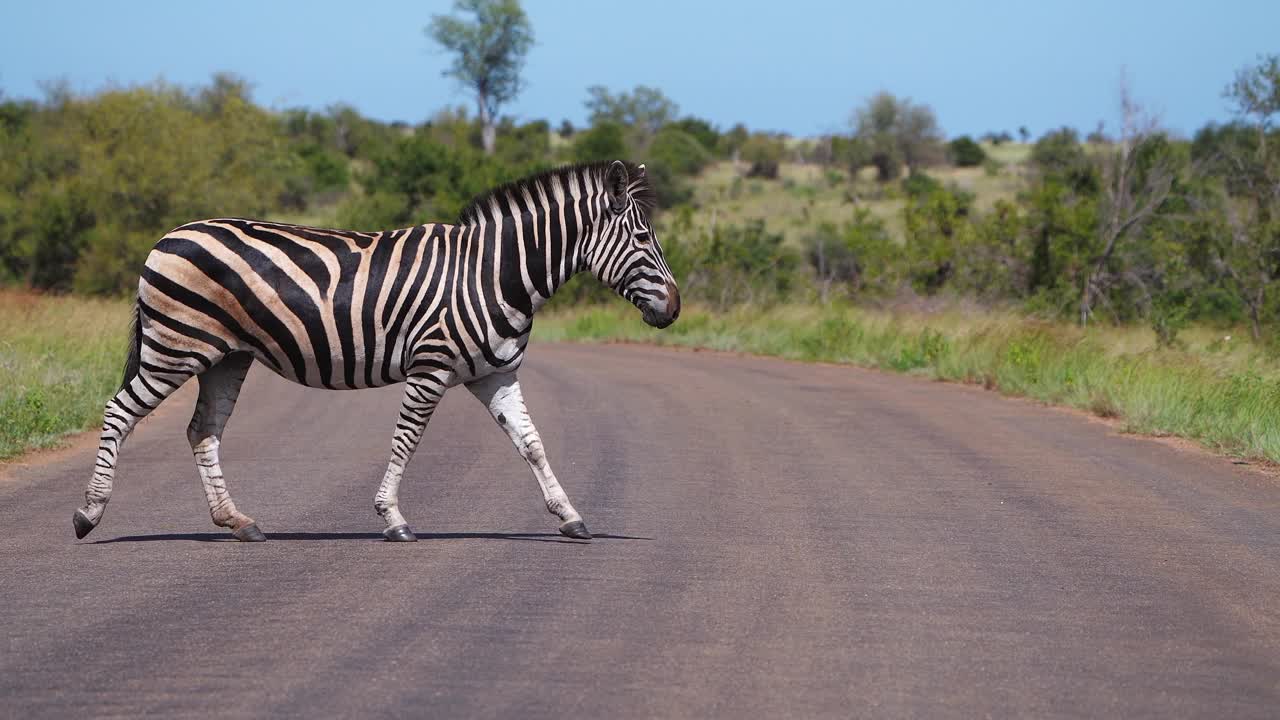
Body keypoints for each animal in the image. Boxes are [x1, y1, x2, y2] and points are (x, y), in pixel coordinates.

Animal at [72, 158, 680, 538]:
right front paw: (392, 518)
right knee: (118, 410)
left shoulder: (496, 374)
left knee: (203, 430)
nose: (673, 309)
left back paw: (238, 523)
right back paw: (88, 514)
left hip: (226, 357)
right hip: (175, 347)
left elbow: (532, 444)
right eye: (644, 238)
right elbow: (406, 440)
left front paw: (570, 516)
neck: (492, 273)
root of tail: (167, 236)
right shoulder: (431, 367)